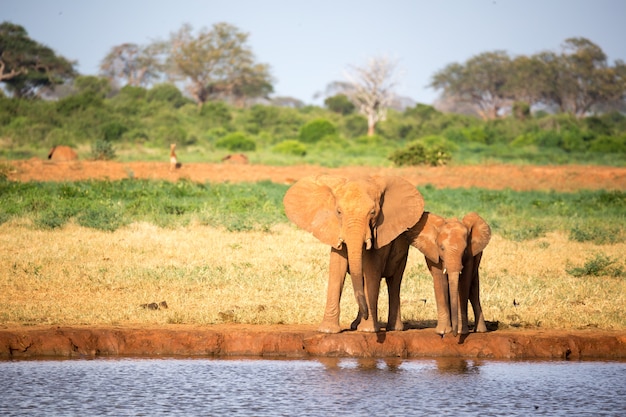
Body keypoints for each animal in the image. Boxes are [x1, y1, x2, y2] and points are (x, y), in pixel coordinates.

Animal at [282, 174, 424, 334]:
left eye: (373, 212)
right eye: (338, 212)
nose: (367, 315)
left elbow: (372, 268)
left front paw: (368, 330)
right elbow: (337, 266)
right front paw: (327, 331)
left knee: (394, 281)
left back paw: (393, 328)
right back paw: (356, 325)